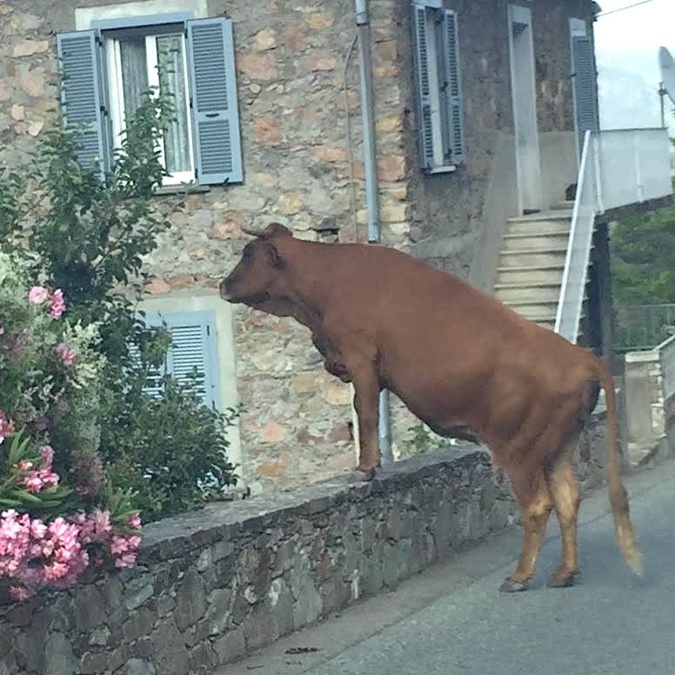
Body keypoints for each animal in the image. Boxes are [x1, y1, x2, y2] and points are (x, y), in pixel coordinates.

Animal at [220, 222, 642, 593]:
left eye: (247, 253)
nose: (222, 284)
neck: (323, 288)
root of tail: (581, 356)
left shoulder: (361, 359)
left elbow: (366, 412)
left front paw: (365, 468)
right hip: (557, 449)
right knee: (568, 501)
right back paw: (563, 573)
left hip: (521, 452)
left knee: (539, 505)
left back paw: (520, 577)